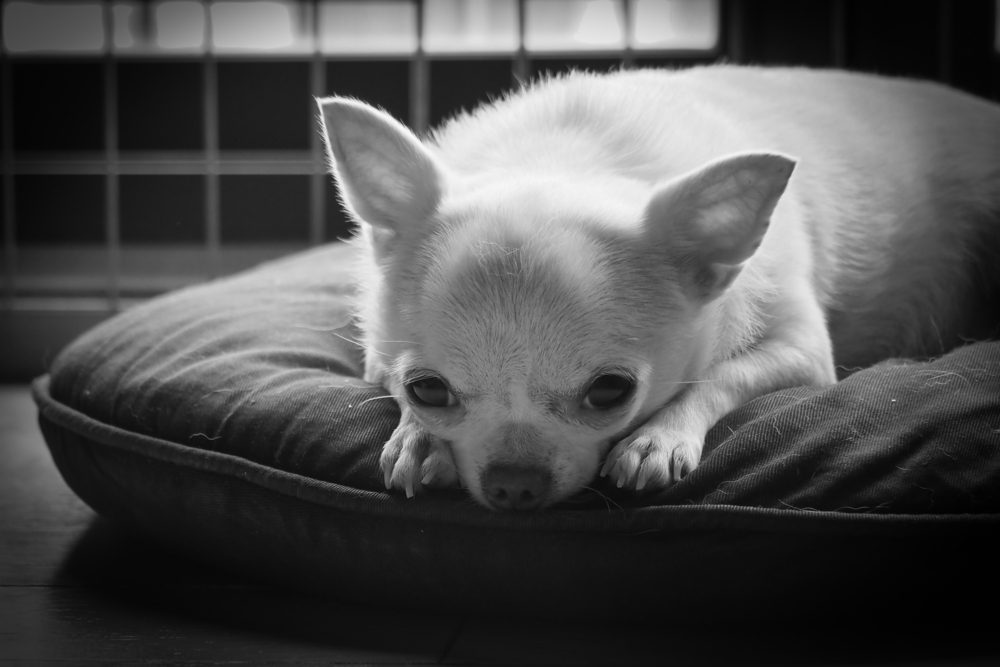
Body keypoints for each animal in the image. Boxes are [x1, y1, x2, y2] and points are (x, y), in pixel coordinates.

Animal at [318, 65, 1000, 512]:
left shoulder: (804, 351)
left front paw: (658, 438)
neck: (569, 154)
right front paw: (418, 439)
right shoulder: (378, 357)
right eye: (428, 390)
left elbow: (719, 375)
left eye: (610, 392)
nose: (515, 484)